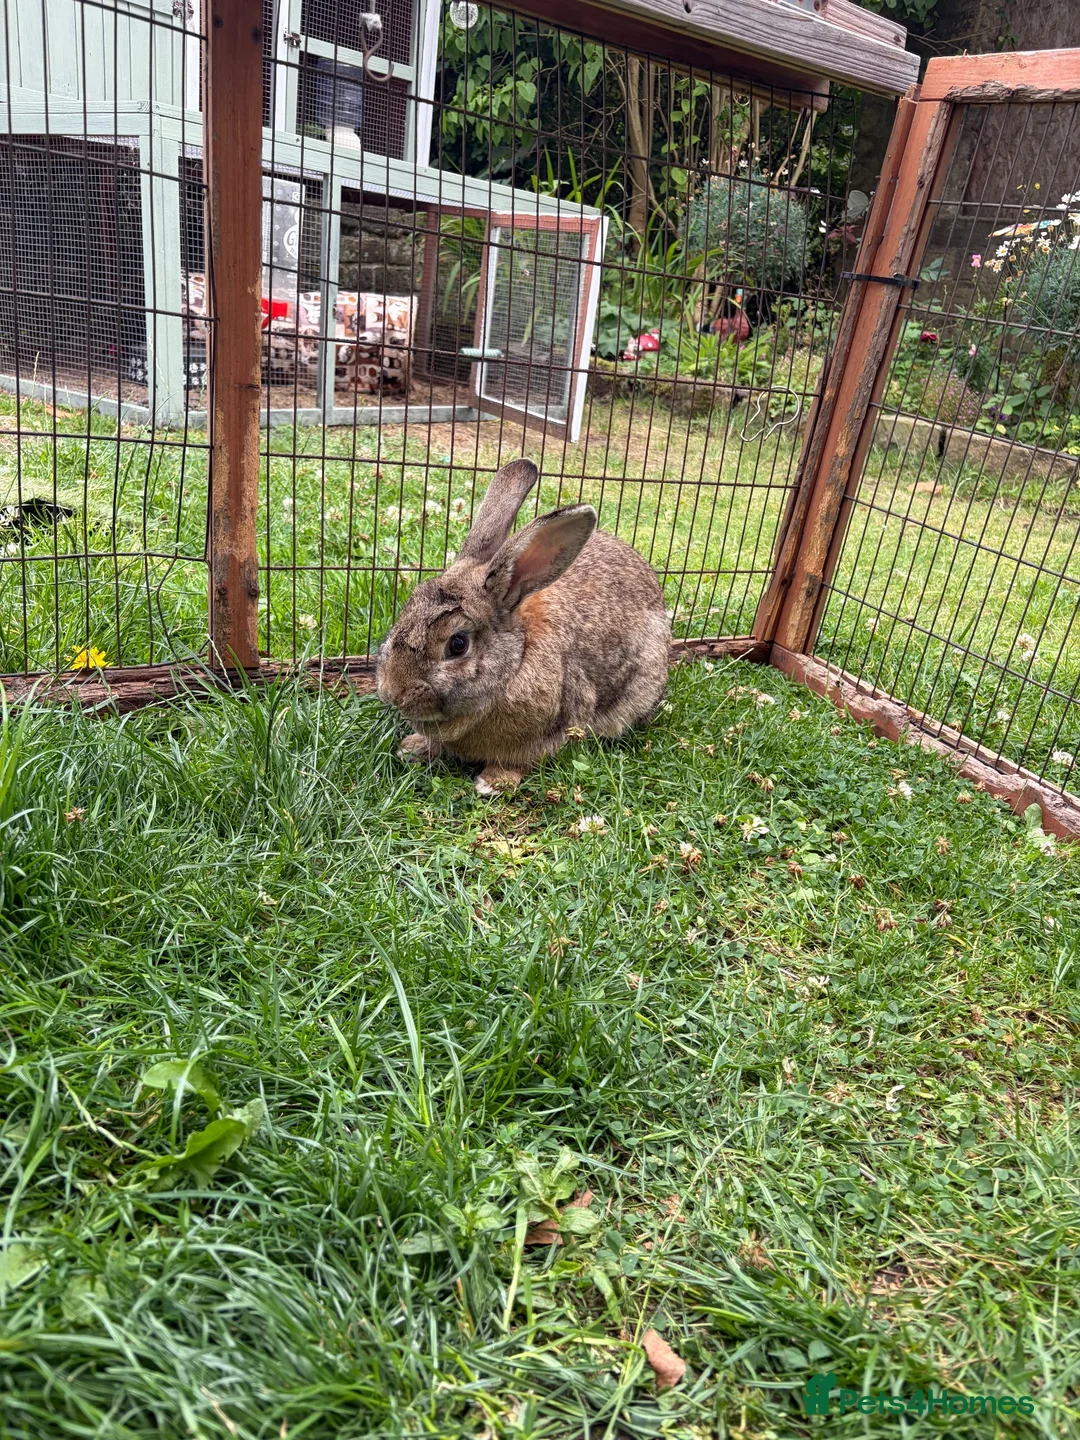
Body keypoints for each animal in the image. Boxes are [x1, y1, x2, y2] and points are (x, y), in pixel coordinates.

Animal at [376, 458, 671, 796]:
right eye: (406, 610)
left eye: (458, 644)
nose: (392, 692)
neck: (515, 661)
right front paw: (412, 748)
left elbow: (517, 762)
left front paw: (493, 783)